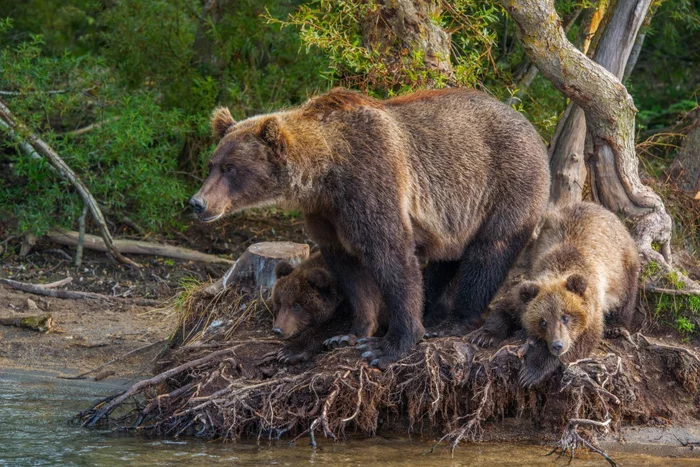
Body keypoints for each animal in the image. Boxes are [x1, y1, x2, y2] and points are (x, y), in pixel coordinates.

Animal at [193, 87, 552, 370]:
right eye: (212, 164)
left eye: (231, 168)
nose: (198, 202)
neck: (325, 174)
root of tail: (531, 125)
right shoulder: (328, 215)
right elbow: (352, 272)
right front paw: (350, 333)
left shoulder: (371, 180)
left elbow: (391, 256)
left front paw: (388, 345)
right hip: (457, 217)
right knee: (446, 260)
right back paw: (434, 313)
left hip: (506, 182)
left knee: (489, 252)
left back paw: (456, 320)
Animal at [470, 201, 640, 388]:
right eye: (543, 322)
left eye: (565, 317)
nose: (557, 345)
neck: (560, 267)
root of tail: (599, 206)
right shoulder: (528, 288)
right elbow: (506, 307)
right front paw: (484, 336)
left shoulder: (591, 305)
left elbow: (583, 339)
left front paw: (531, 372)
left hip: (622, 264)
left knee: (626, 294)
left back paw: (616, 326)